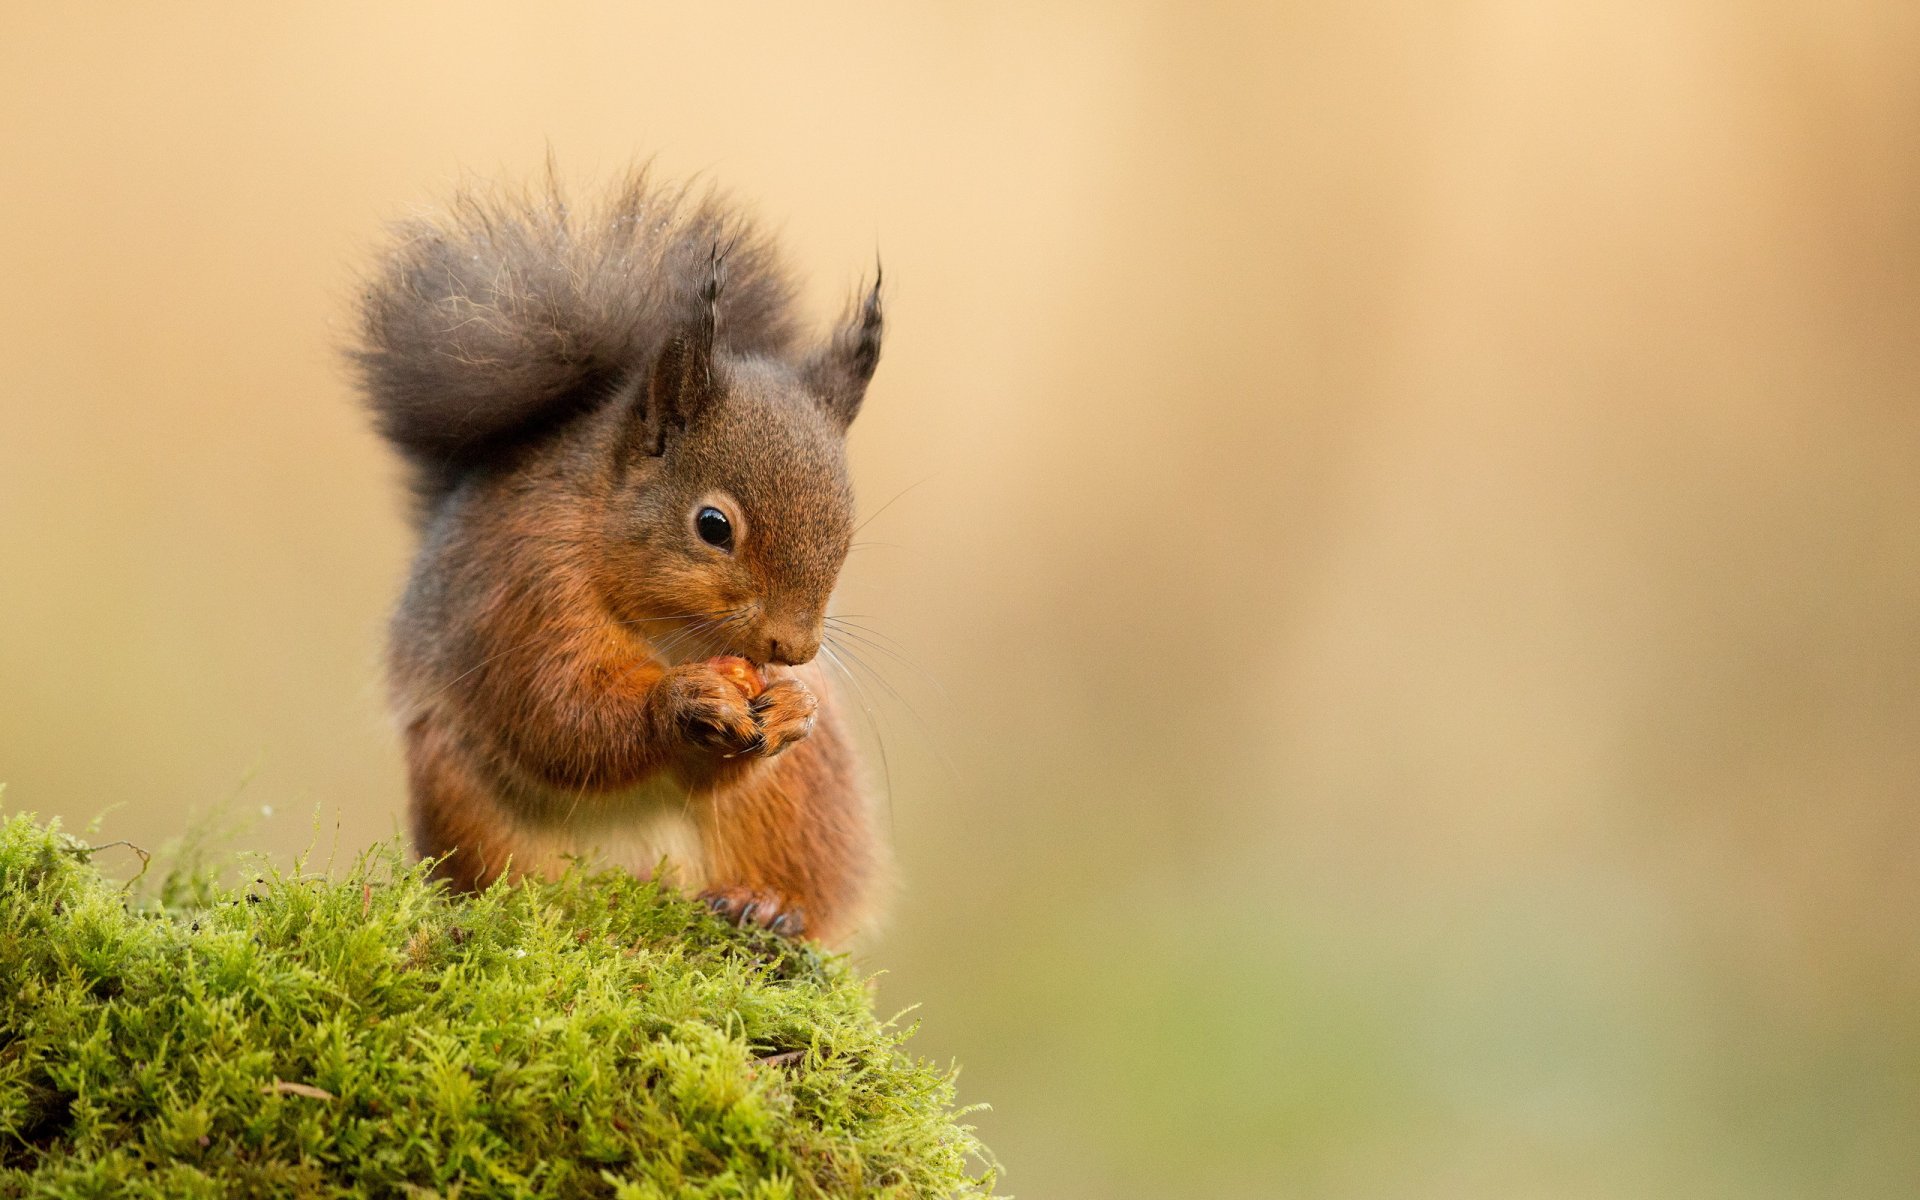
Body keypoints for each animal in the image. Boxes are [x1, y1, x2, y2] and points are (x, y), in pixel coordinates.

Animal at [349, 170, 879, 944]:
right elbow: (560, 714)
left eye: (846, 529)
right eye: (713, 526)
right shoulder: (525, 594)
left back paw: (764, 903)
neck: (673, 635)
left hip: (803, 807)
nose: (796, 648)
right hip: (459, 795)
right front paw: (681, 701)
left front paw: (792, 708)